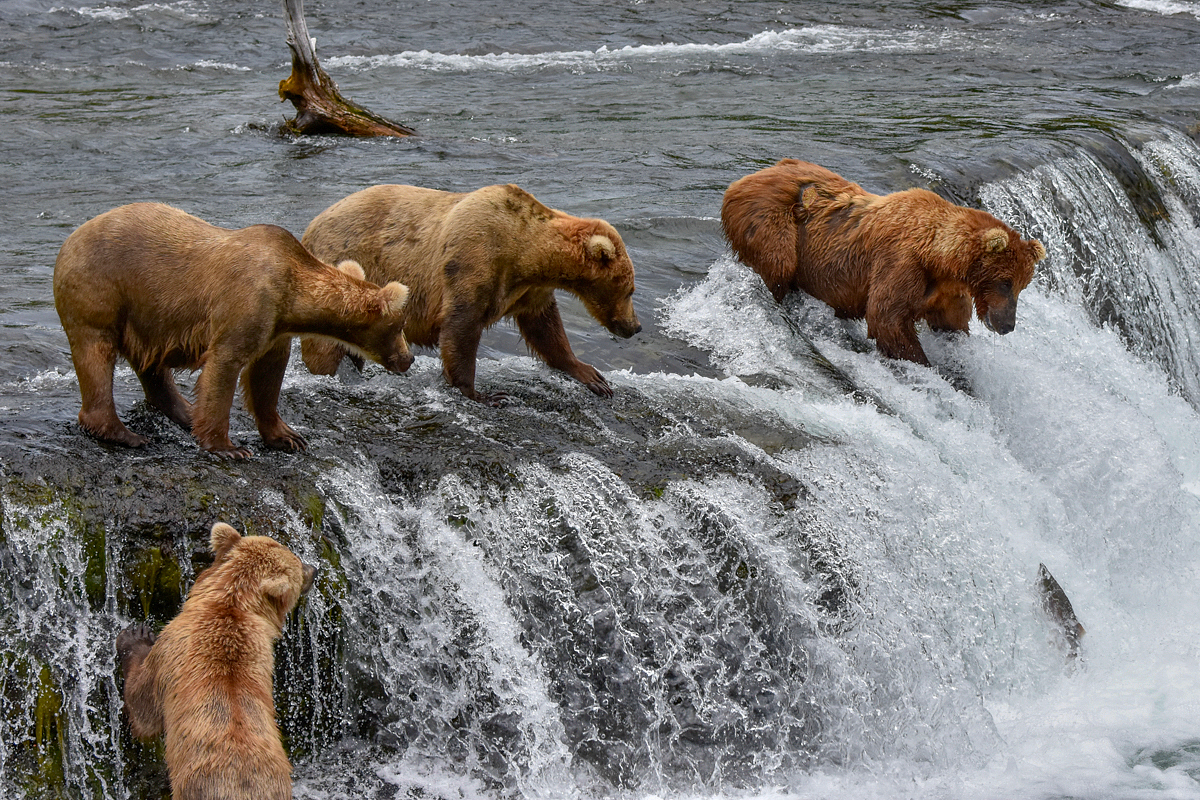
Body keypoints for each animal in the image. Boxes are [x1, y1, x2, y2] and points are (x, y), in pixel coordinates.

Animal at [54, 203, 415, 460]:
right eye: (400, 326)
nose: (408, 359)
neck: (293, 298)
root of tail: (69, 239)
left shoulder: (275, 329)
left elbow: (267, 377)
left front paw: (289, 436)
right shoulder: (247, 303)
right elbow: (225, 366)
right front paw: (229, 447)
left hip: (147, 314)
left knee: (151, 366)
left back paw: (185, 412)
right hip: (101, 288)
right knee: (96, 353)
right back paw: (123, 433)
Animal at [112, 522, 316, 800]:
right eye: (295, 558)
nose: (314, 570)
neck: (230, 602)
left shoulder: (170, 650)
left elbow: (143, 706)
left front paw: (135, 637)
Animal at [296, 183, 643, 402]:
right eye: (630, 289)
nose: (635, 326)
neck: (526, 253)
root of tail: (308, 228)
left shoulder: (528, 290)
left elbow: (546, 329)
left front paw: (592, 376)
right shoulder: (473, 259)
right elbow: (460, 327)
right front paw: (482, 393)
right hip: (342, 272)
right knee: (325, 344)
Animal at [715, 159, 1046, 367]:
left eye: (1022, 285)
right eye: (1005, 282)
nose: (1007, 325)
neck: (939, 258)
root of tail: (745, 178)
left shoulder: (945, 291)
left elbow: (950, 324)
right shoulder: (901, 264)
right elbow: (887, 319)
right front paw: (923, 363)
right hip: (772, 223)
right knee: (777, 267)